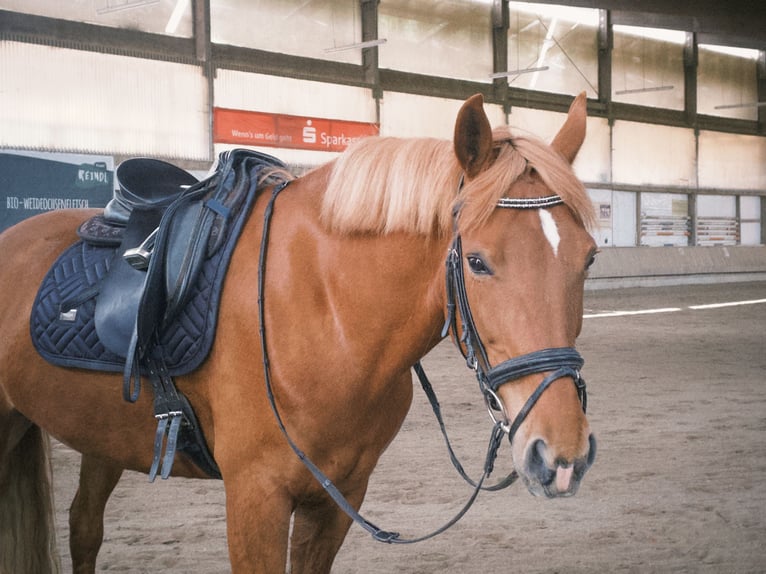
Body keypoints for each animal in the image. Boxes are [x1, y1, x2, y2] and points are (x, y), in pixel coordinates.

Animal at [0, 92, 598, 573]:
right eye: (476, 262)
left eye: (589, 257)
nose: (561, 454)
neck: (326, 314)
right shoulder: (256, 498)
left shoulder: (336, 498)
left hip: (100, 438)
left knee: (83, 527)